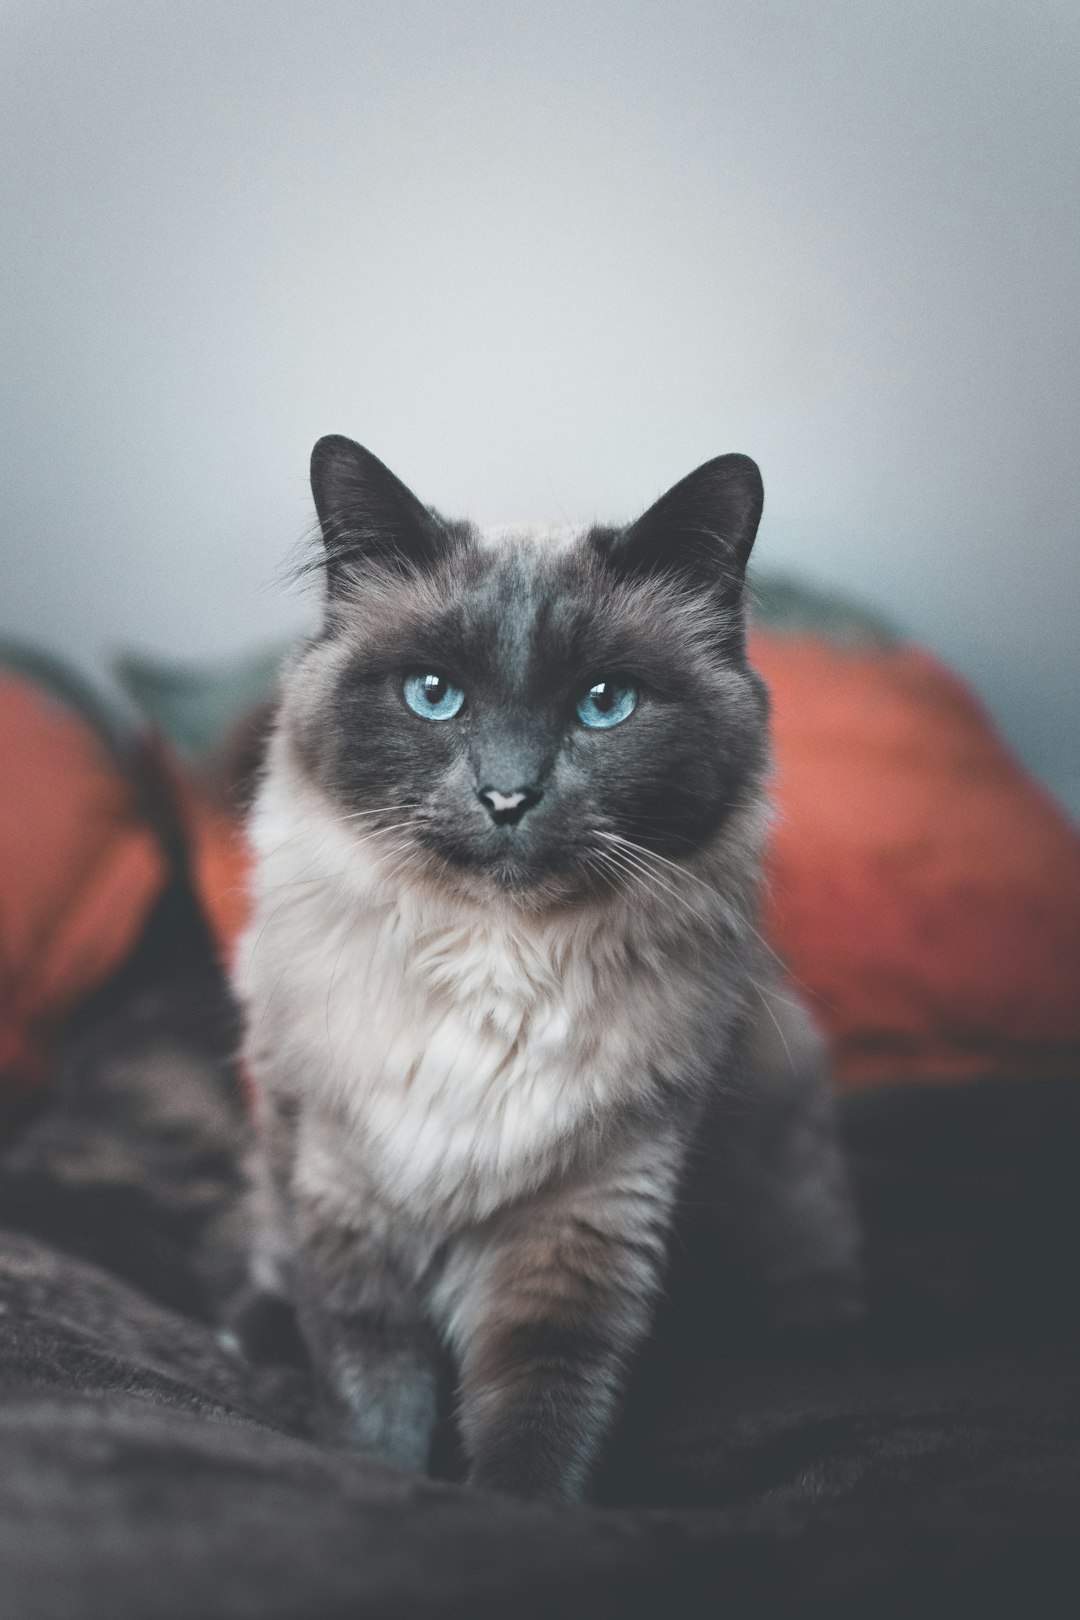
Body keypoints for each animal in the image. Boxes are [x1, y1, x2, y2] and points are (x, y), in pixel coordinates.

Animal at [234, 434, 861, 1503]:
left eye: (603, 705)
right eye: (434, 696)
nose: (507, 795)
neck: (499, 965)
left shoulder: (580, 1231)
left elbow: (539, 1429)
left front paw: (511, 1515)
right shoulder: (344, 1202)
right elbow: (371, 1403)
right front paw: (384, 1487)